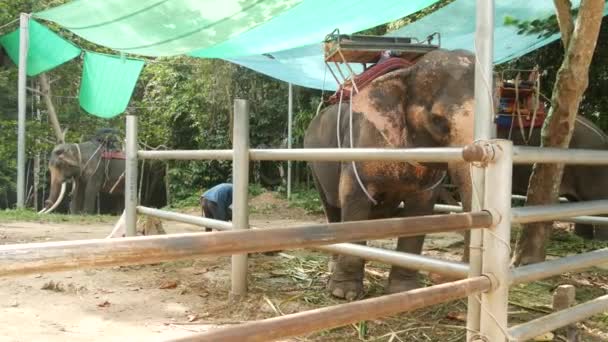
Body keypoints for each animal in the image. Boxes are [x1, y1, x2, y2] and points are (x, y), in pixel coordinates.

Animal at [304, 48, 476, 300]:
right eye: (437, 120)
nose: (440, 279)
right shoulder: (359, 145)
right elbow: (353, 199)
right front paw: (344, 294)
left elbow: (420, 210)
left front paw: (404, 291)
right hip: (315, 162)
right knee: (332, 206)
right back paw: (333, 267)